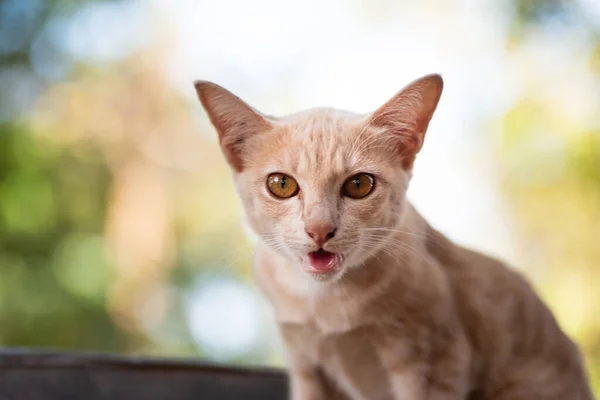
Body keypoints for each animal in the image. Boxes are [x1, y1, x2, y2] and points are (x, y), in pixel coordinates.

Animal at [195, 75, 592, 400]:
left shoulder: (434, 362)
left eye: (359, 184)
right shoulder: (307, 367)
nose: (319, 228)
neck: (326, 303)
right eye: (281, 185)